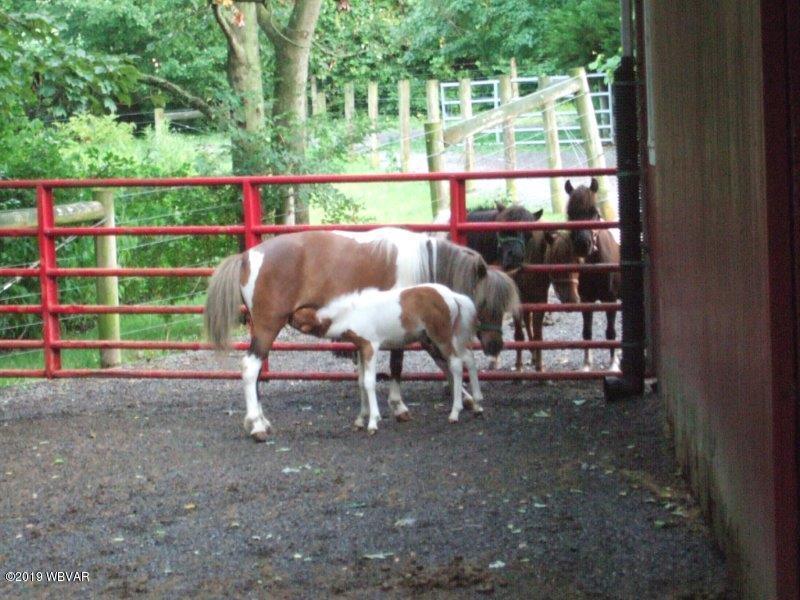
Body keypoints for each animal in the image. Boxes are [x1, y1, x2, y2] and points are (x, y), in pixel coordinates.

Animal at [289, 284, 482, 432]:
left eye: (297, 316)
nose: (287, 314)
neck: (352, 314)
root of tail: (452, 295)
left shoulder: (371, 347)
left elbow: (369, 382)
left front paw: (373, 422)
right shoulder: (360, 349)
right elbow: (361, 382)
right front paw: (360, 419)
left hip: (440, 336)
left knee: (456, 364)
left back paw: (455, 412)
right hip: (441, 338)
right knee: (468, 357)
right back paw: (477, 403)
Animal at [544, 228, 620, 371]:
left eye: (575, 260)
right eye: (553, 262)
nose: (569, 299)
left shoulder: (610, 300)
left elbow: (610, 332)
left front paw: (613, 364)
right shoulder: (586, 300)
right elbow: (587, 332)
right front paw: (586, 364)